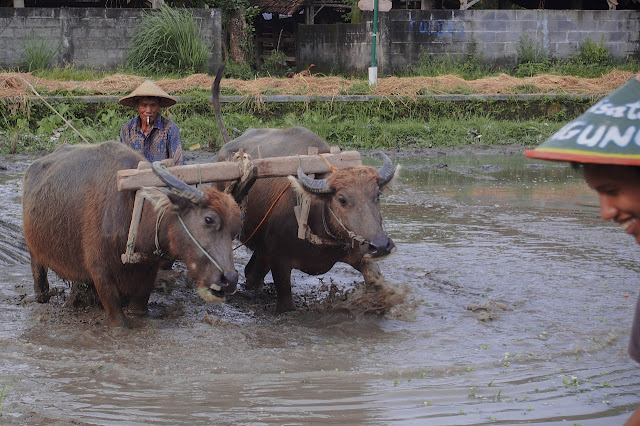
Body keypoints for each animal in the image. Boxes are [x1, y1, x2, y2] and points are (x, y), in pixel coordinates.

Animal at [22, 141, 241, 328]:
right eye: (209, 220)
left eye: (235, 230)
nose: (230, 280)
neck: (135, 212)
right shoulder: (100, 271)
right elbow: (119, 319)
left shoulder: (149, 269)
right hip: (35, 251)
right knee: (38, 272)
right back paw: (43, 295)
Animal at [212, 68, 398, 312]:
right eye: (342, 199)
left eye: (377, 196)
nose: (381, 245)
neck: (316, 217)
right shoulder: (279, 262)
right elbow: (286, 302)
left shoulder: (360, 253)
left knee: (252, 274)